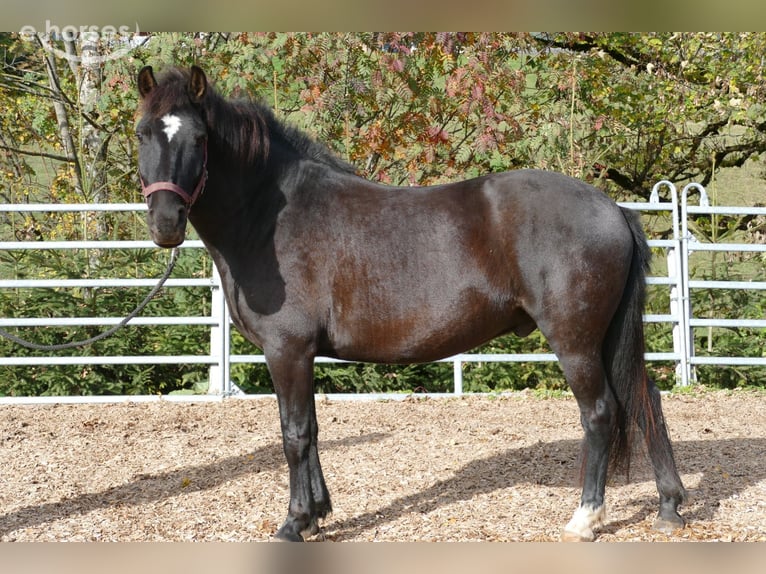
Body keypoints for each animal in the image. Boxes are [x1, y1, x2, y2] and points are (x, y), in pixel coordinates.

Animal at [135, 65, 686, 541]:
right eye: (142, 133)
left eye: (199, 139)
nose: (166, 222)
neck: (273, 215)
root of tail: (612, 208)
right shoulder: (303, 355)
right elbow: (311, 429)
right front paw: (318, 515)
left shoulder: (286, 350)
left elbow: (294, 434)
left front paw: (295, 522)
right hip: (607, 339)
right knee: (645, 400)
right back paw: (670, 505)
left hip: (575, 342)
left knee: (600, 413)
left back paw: (585, 518)